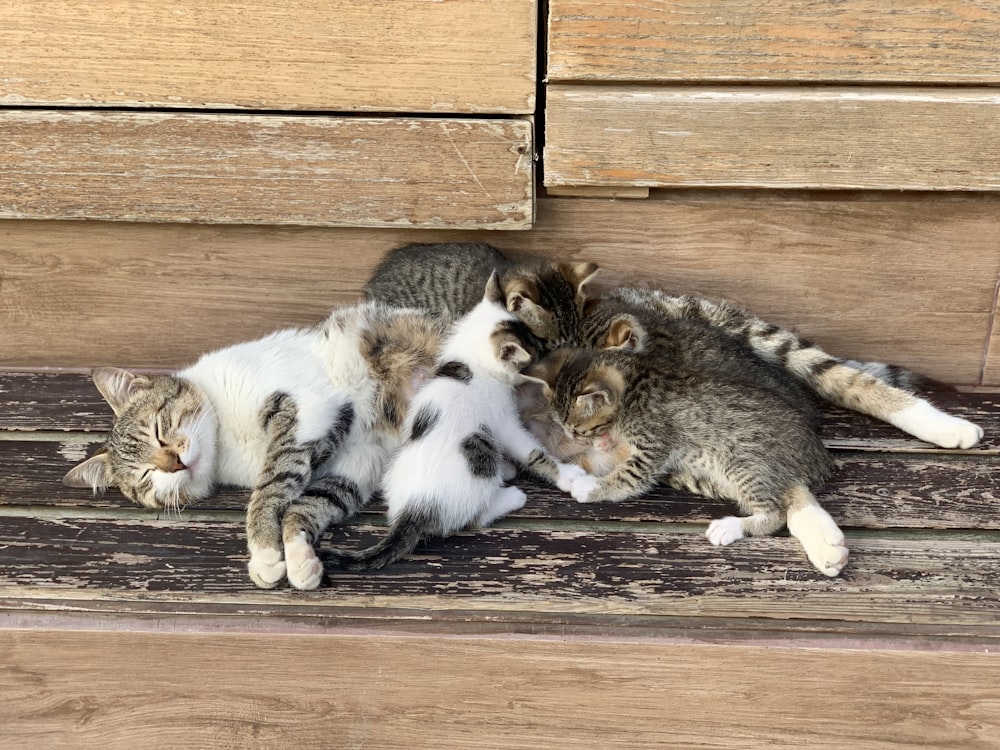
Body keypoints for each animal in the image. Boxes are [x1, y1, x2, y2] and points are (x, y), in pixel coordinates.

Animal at [58, 302, 442, 592]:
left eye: (157, 429)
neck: (226, 440)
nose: (175, 463)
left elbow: (269, 487)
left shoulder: (305, 411)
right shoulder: (359, 460)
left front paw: (264, 551)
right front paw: (300, 559)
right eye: (146, 476)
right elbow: (307, 503)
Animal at [326, 274, 592, 572]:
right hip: (478, 456)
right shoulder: (503, 420)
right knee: (472, 519)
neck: (469, 363)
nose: (544, 367)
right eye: (529, 359)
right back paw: (510, 497)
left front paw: (509, 466)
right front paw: (566, 475)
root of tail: (413, 511)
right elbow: (532, 451)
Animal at [520, 314, 848, 580]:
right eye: (568, 429)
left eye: (579, 428)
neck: (635, 381)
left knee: (777, 511)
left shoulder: (653, 444)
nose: (576, 438)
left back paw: (732, 527)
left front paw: (590, 488)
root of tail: (816, 453)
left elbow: (629, 477)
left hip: (741, 460)